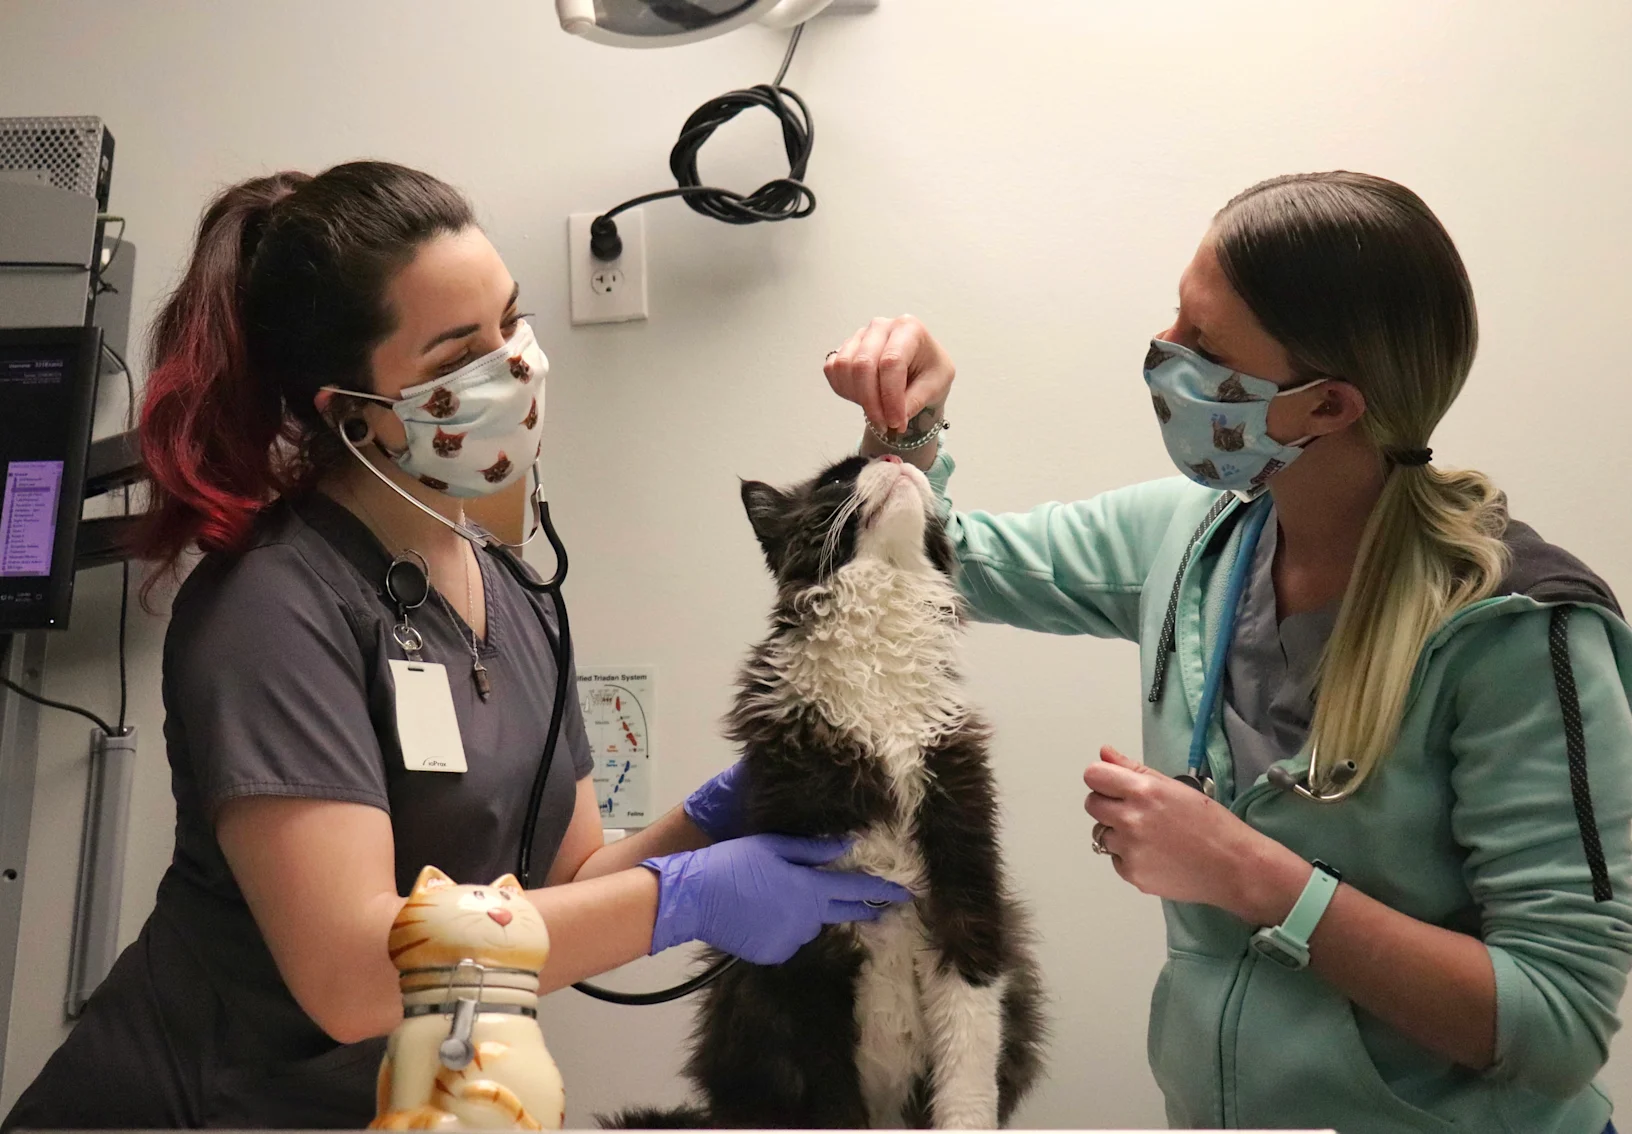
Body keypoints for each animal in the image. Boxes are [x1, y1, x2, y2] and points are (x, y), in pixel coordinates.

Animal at [613, 456, 1044, 1129]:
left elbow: (967, 1079)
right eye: (838, 481)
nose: (894, 456)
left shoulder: (969, 899)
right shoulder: (803, 947)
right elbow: (835, 1101)